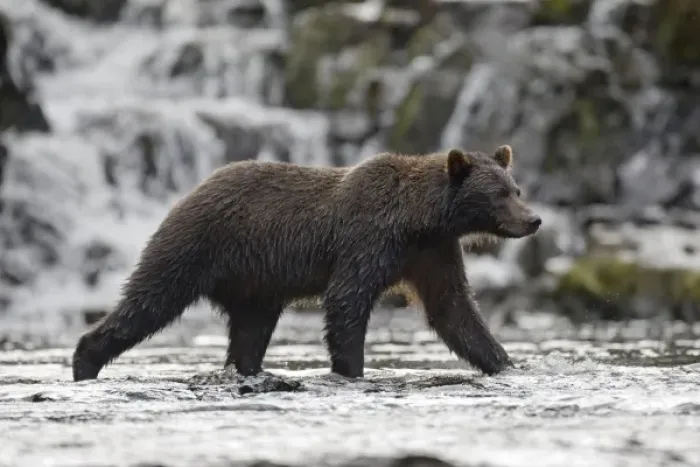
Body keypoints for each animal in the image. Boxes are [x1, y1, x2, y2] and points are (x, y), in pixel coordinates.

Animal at [71, 144, 541, 382]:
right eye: (500, 193)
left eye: (516, 188)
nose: (533, 219)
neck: (420, 219)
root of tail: (191, 190)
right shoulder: (368, 241)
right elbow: (347, 301)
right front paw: (352, 370)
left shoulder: (433, 254)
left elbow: (454, 310)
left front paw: (505, 363)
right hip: (196, 246)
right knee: (149, 301)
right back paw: (85, 360)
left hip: (255, 284)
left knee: (249, 331)